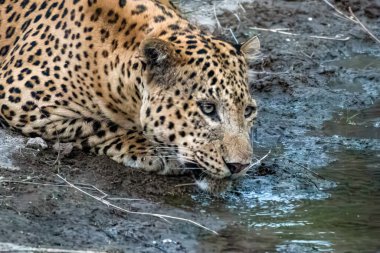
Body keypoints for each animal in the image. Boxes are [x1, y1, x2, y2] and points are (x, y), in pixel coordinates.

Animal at [0, 0, 260, 189]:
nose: (240, 166)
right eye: (208, 108)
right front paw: (153, 150)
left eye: (248, 111)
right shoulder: (20, 101)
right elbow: (99, 125)